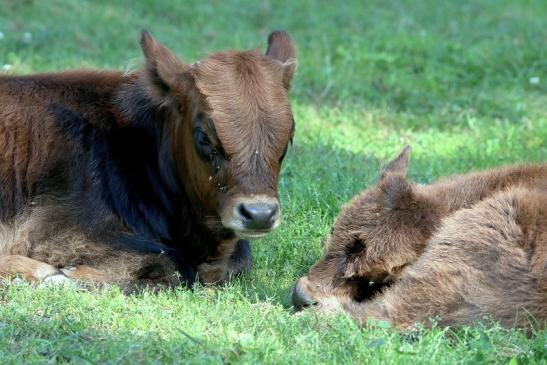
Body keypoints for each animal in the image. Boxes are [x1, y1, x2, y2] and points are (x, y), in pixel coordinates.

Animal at [0, 30, 298, 288]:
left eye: (290, 136)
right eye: (204, 137)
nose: (259, 214)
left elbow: (241, 260)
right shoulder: (55, 233)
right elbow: (168, 264)